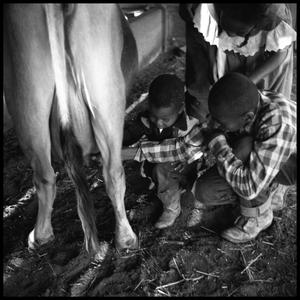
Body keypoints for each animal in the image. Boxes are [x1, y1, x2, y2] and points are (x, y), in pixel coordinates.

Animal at [3, 3, 138, 258]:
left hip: (26, 93)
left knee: (44, 175)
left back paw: (40, 236)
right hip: (106, 90)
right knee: (113, 172)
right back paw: (126, 239)